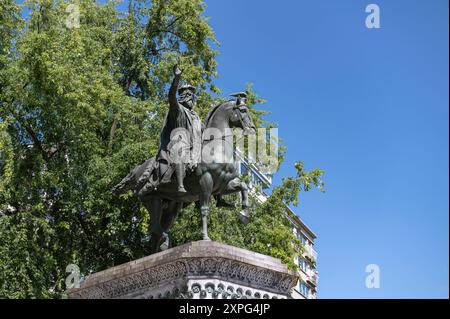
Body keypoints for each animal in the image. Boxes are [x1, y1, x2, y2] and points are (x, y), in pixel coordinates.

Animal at [112, 99, 255, 254]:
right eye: (243, 110)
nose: (252, 128)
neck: (216, 148)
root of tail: (138, 169)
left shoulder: (223, 185)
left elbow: (243, 187)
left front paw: (244, 215)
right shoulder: (206, 182)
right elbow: (204, 210)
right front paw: (205, 237)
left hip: (170, 207)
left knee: (156, 231)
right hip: (150, 199)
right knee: (154, 227)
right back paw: (165, 240)